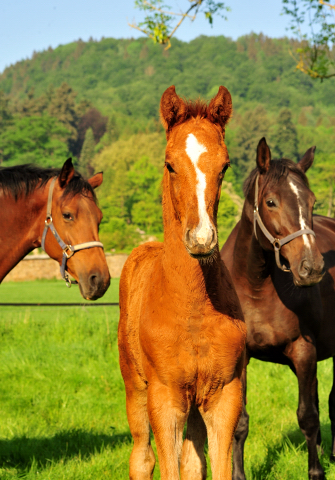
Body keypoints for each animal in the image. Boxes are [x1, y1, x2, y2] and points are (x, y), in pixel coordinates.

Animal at [118, 86, 247, 480]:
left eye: (225, 166)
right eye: (169, 164)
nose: (201, 239)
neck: (194, 308)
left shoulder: (224, 395)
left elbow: (215, 467)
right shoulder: (165, 398)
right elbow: (167, 467)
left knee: (192, 461)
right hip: (135, 386)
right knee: (142, 457)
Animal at [220, 139, 335, 480]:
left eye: (312, 201)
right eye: (270, 202)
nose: (311, 268)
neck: (256, 286)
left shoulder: (303, 351)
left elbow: (308, 417)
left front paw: (316, 472)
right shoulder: (240, 358)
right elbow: (240, 422)